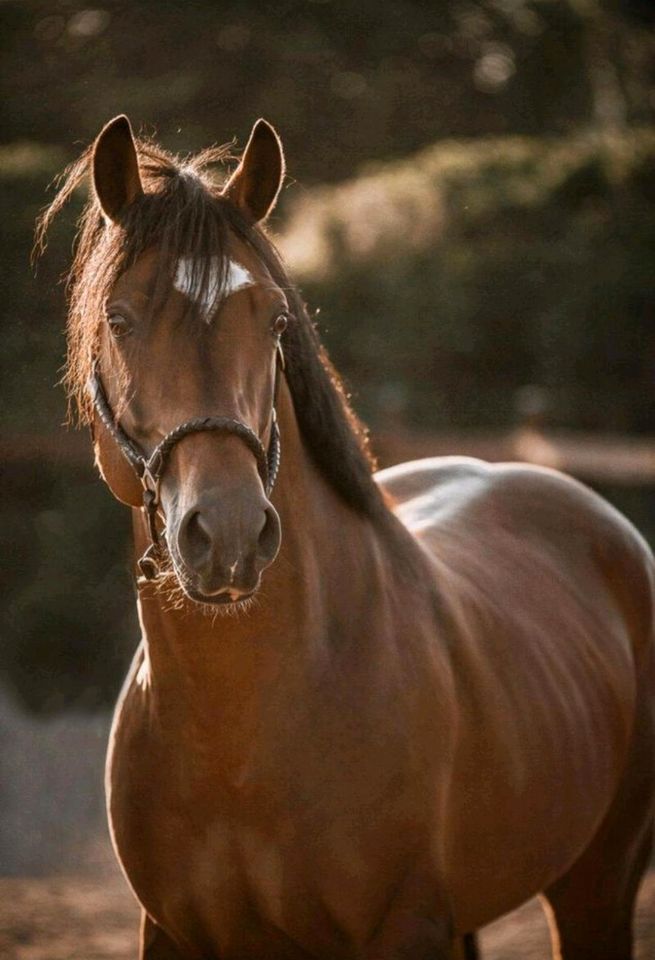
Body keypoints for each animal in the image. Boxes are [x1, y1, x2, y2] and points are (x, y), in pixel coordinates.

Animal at [39, 116, 655, 956]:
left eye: (275, 319)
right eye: (118, 319)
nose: (227, 533)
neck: (240, 736)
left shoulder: (404, 926)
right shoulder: (168, 933)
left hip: (597, 884)